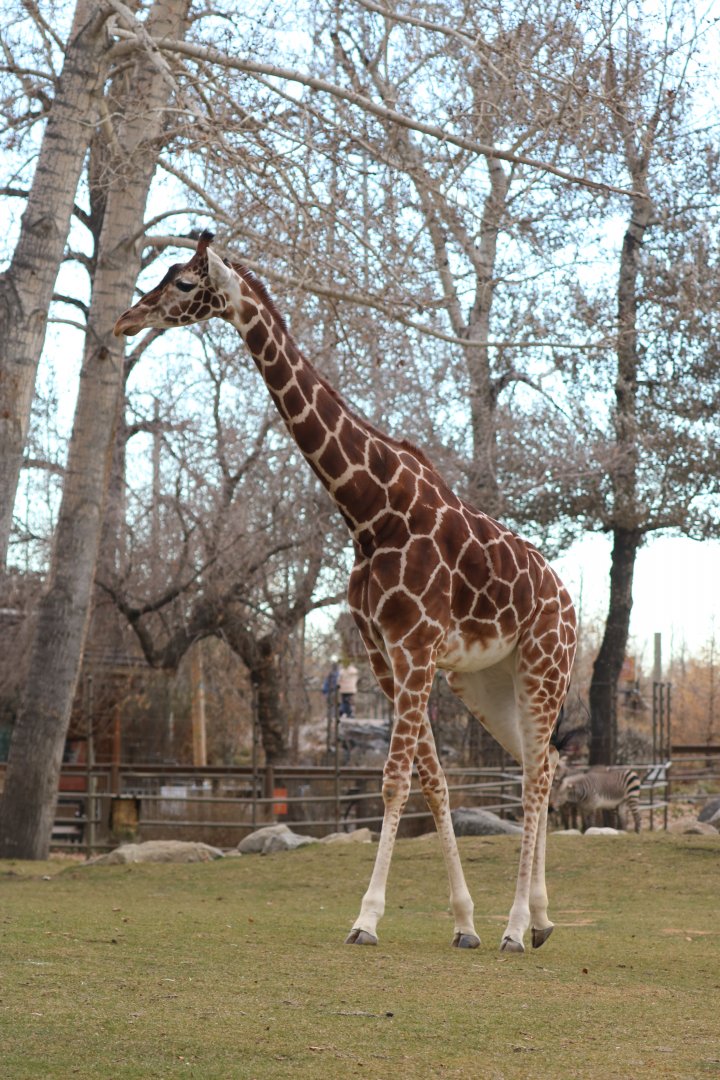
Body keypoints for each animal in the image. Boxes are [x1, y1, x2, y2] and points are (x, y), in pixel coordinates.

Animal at [114, 231, 577, 953]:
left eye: (185, 282)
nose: (126, 321)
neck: (368, 510)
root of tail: (568, 600)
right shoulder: (384, 653)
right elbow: (432, 782)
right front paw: (462, 923)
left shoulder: (414, 646)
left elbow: (392, 782)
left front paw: (367, 919)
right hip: (485, 684)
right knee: (542, 766)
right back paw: (539, 920)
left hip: (543, 668)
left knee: (533, 779)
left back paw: (515, 928)